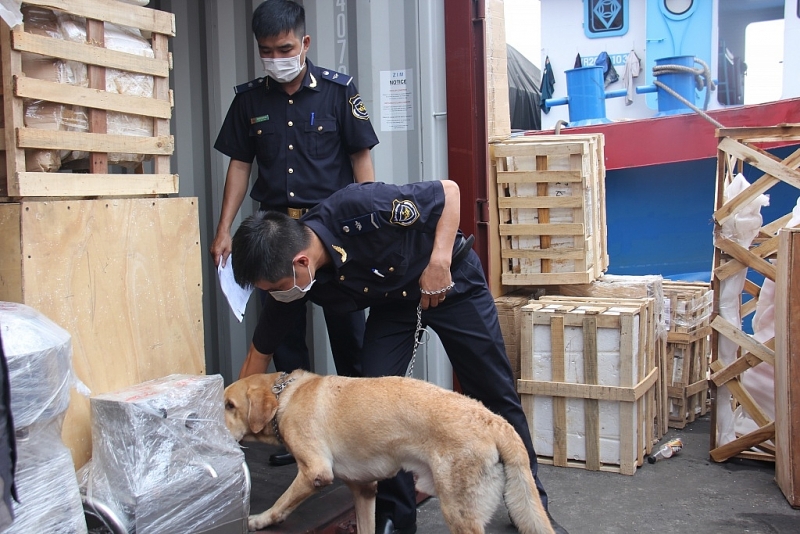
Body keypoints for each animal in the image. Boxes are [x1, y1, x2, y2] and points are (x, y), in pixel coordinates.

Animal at [222, 372, 552, 534]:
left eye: (229, 405)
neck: (283, 394)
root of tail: (496, 421)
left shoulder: (314, 472)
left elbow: (281, 504)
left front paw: (259, 521)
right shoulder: (365, 490)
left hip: (458, 513)